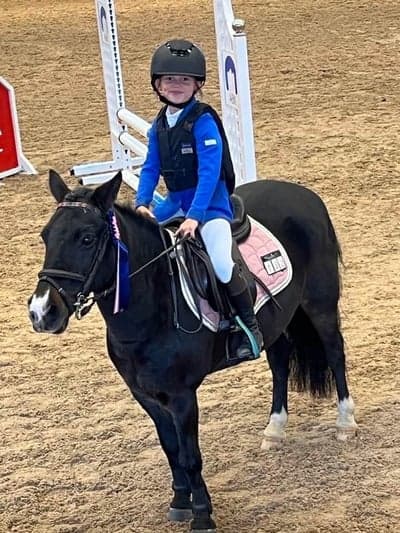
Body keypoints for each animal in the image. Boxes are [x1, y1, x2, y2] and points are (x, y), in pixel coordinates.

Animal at [29, 171, 358, 532]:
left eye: (86, 238)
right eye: (45, 236)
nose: (42, 312)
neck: (152, 306)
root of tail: (303, 193)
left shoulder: (182, 396)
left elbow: (190, 455)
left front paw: (201, 514)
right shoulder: (145, 396)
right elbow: (171, 450)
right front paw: (179, 501)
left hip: (320, 304)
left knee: (335, 353)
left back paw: (345, 422)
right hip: (278, 320)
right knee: (280, 364)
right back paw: (274, 429)